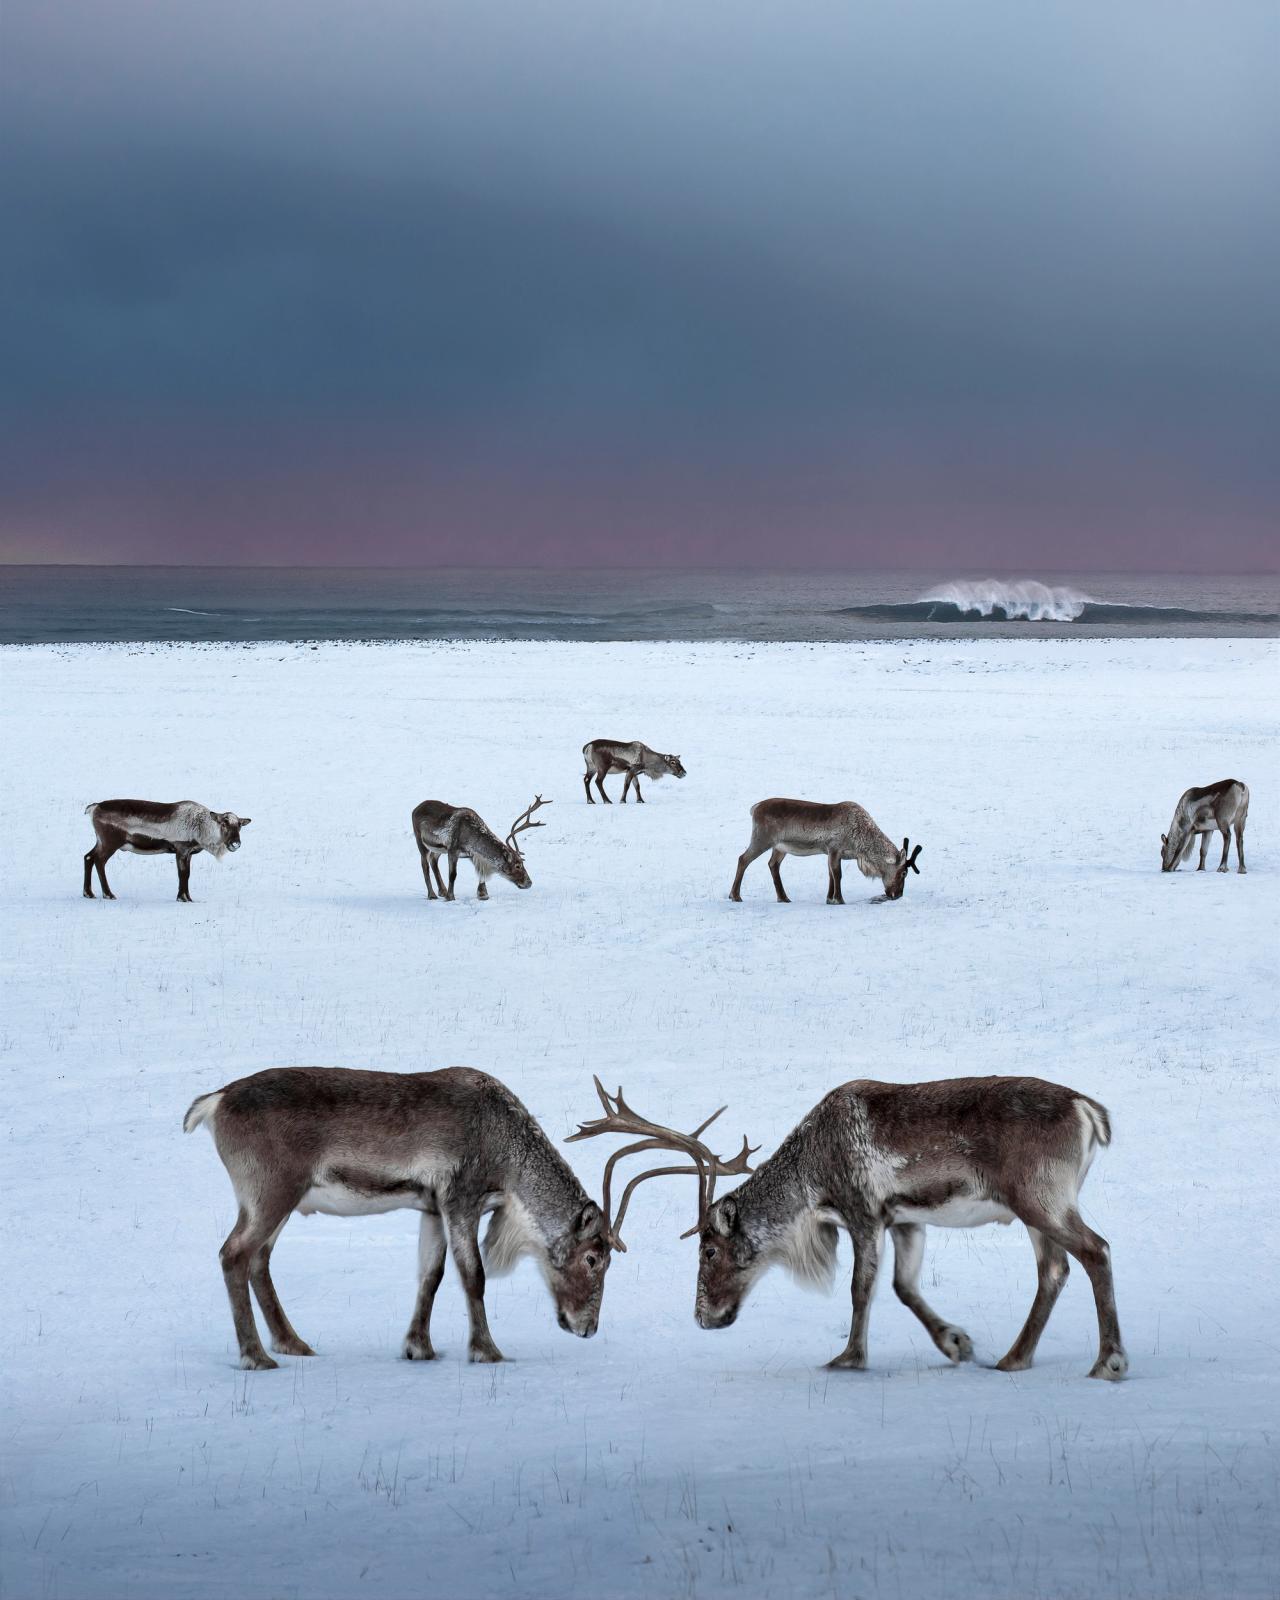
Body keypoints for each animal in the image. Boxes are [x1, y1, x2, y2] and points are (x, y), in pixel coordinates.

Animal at [82, 799, 251, 902]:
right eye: (224, 823)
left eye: (239, 825)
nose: (235, 843)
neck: (200, 829)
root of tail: (94, 807)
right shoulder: (181, 849)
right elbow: (183, 874)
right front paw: (183, 898)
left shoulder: (189, 853)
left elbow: (187, 875)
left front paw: (187, 897)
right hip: (110, 843)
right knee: (99, 861)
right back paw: (108, 894)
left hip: (100, 841)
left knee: (88, 857)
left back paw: (88, 893)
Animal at [184, 1066, 615, 1368]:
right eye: (594, 1259)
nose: (588, 1328)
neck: (508, 1163)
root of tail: (214, 1101)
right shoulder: (460, 1199)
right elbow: (472, 1275)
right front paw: (486, 1351)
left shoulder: (431, 1207)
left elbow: (431, 1275)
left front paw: (418, 1348)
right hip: (270, 1192)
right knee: (234, 1254)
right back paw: (256, 1357)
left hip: (274, 1201)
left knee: (259, 1259)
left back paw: (293, 1343)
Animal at [411, 795, 549, 901]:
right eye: (517, 865)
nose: (529, 883)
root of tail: (415, 808)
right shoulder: (453, 849)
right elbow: (453, 875)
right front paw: (450, 897)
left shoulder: (472, 854)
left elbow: (481, 872)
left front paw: (483, 894)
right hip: (420, 840)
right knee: (424, 864)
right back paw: (432, 894)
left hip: (439, 848)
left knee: (433, 859)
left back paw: (442, 891)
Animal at [676, 1076, 1126, 1381]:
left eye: (709, 1250)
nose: (702, 1318)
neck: (811, 1183)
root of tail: (1089, 1111)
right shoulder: (905, 1221)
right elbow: (903, 1286)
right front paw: (955, 1342)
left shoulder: (863, 1214)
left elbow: (861, 1288)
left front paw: (848, 1359)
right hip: (1037, 1208)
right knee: (1054, 1269)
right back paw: (1013, 1359)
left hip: (1041, 1198)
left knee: (1096, 1249)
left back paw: (1108, 1362)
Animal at [729, 798, 922, 904]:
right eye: (904, 873)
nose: (897, 895)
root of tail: (754, 808)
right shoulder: (834, 848)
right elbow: (837, 875)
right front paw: (839, 899)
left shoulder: (831, 853)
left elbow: (830, 875)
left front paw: (829, 899)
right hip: (762, 839)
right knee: (743, 859)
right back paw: (735, 896)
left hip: (779, 847)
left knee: (772, 864)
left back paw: (783, 898)